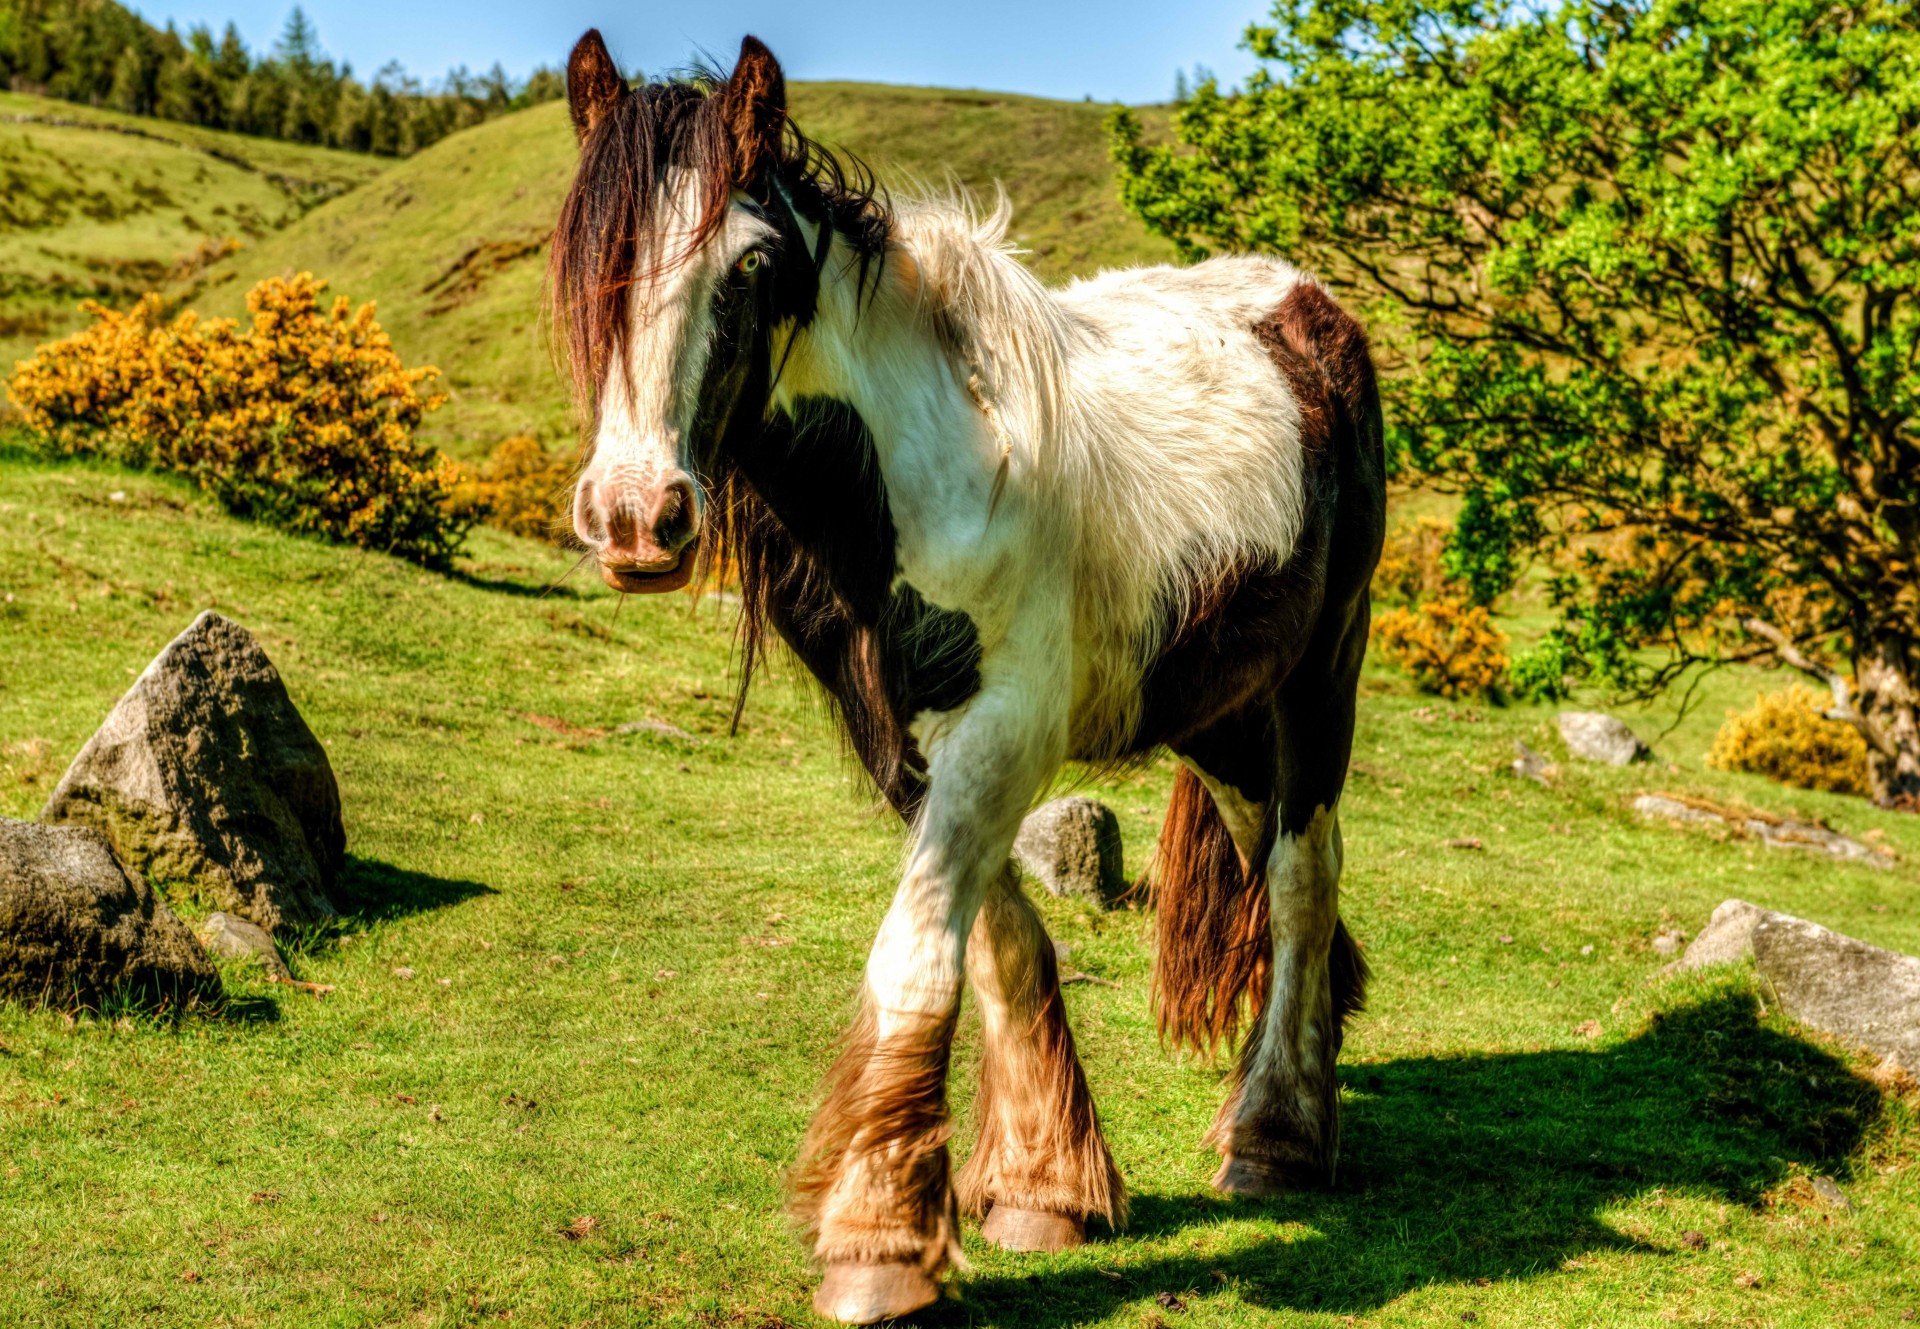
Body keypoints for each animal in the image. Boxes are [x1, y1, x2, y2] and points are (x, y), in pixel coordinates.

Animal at [548, 31, 1386, 1323]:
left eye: (750, 264)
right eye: (595, 256)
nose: (638, 517)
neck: (923, 471)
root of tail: (1306, 303)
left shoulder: (1004, 732)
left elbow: (916, 955)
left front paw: (878, 1244)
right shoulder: (906, 742)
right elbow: (998, 944)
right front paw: (1043, 1187)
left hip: (1316, 683)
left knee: (1301, 880)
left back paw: (1275, 1137)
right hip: (1221, 713)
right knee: (1271, 869)